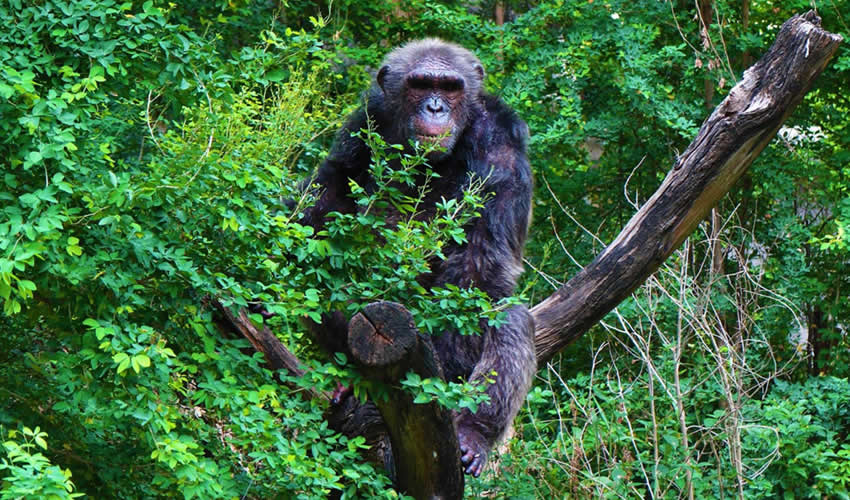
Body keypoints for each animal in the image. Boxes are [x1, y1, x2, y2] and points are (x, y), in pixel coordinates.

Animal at [302, 39, 532, 476]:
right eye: (421, 84)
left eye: (451, 87)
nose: (436, 107)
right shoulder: (363, 122)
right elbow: (327, 202)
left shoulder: (500, 147)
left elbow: (477, 266)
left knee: (507, 315)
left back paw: (472, 434)